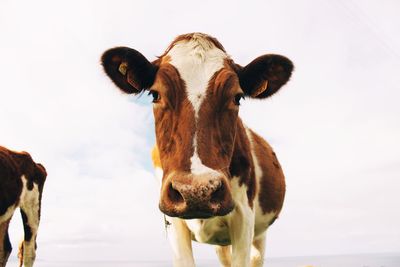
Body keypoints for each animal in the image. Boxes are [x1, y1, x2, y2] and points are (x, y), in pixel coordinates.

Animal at [101, 32, 294, 266]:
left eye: (237, 97)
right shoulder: (173, 221)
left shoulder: (244, 218)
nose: (197, 192)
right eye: (155, 94)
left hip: (259, 234)